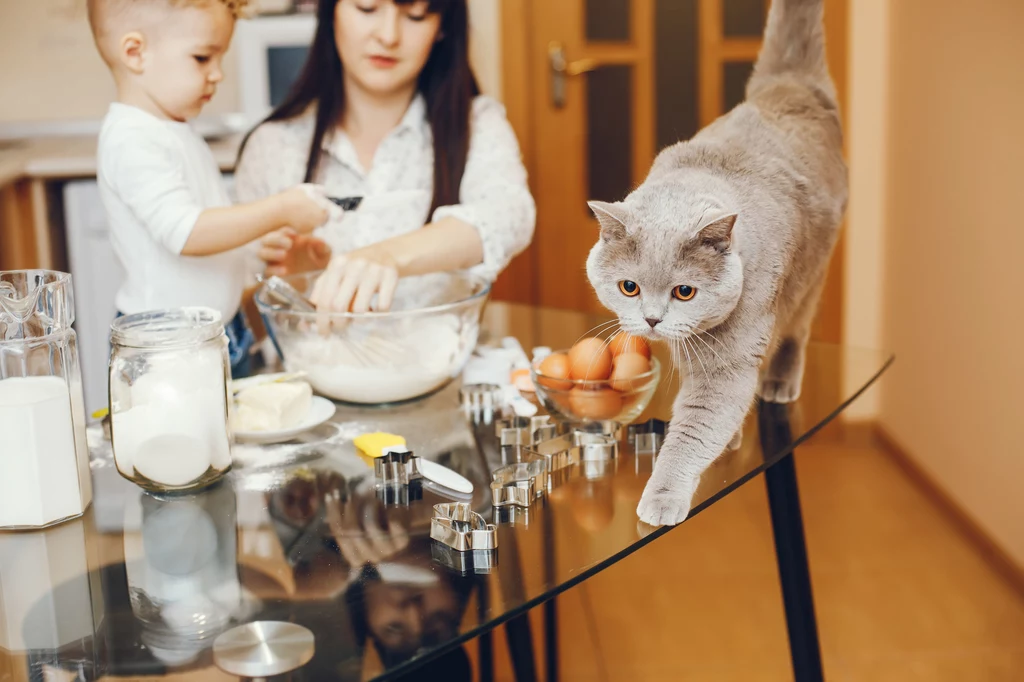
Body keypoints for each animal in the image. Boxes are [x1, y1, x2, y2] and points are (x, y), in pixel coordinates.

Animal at [589, 0, 843, 522]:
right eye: (629, 287)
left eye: (684, 291)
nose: (651, 320)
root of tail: (789, 86)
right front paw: (731, 439)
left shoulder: (728, 359)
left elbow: (697, 424)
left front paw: (663, 497)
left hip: (813, 271)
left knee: (798, 327)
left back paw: (780, 381)